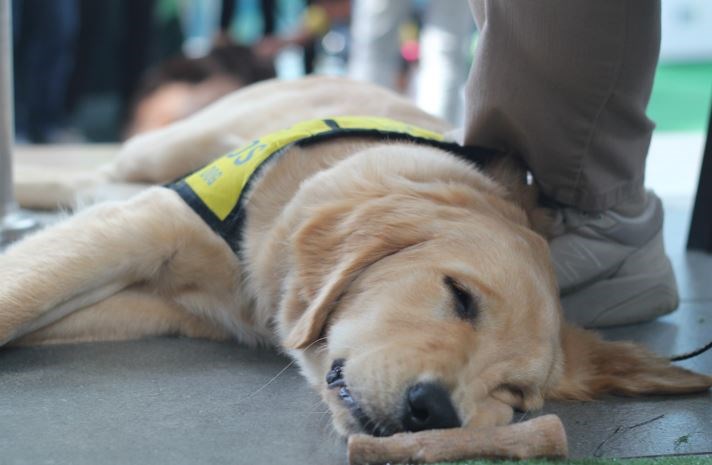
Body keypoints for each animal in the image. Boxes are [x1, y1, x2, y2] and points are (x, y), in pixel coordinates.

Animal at [1, 75, 712, 436]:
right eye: (459, 296)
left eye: (514, 393)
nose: (434, 413)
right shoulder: (151, 223)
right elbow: (22, 294)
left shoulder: (163, 304)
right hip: (162, 150)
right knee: (88, 176)